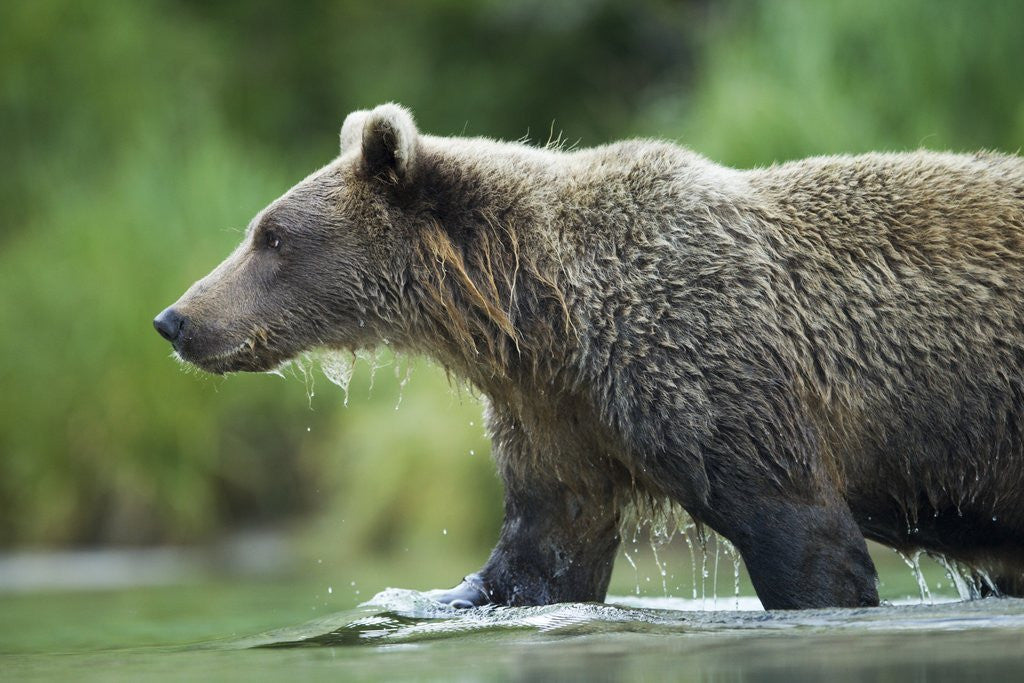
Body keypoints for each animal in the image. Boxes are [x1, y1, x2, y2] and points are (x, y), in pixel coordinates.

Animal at [155, 103, 1024, 610]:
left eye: (272, 236)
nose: (176, 318)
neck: (544, 317)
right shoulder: (559, 417)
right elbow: (543, 551)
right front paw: (443, 597)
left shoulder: (713, 368)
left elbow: (802, 536)